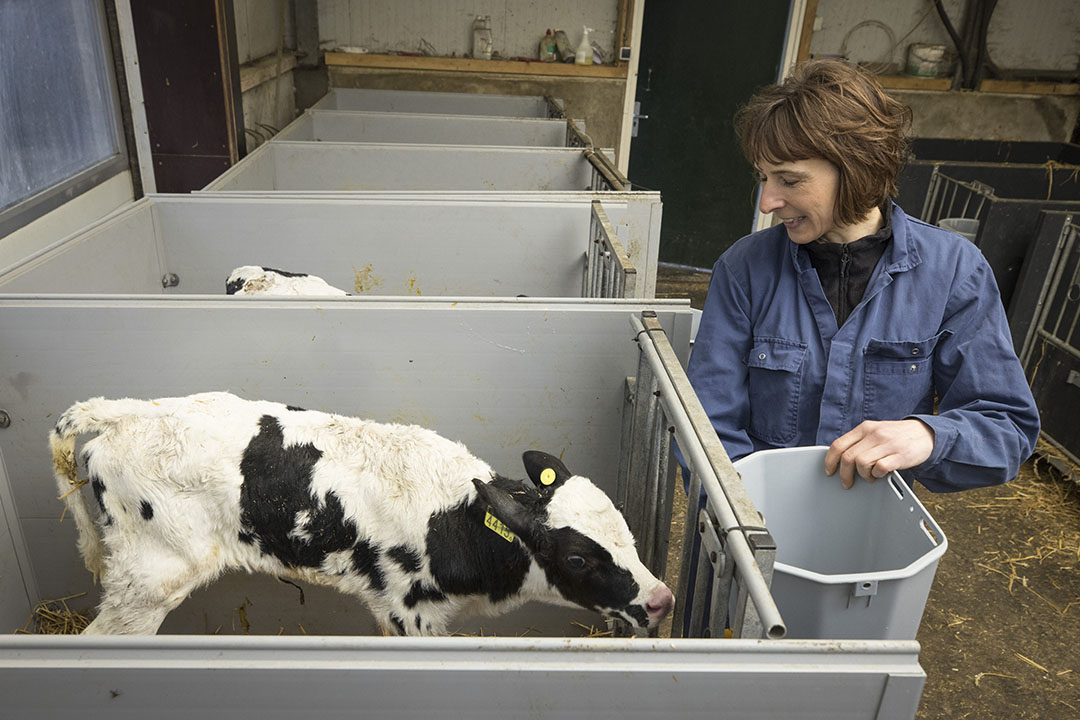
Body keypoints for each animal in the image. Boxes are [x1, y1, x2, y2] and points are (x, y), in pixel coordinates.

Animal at [54, 395, 673, 634]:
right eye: (579, 557)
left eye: (628, 533)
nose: (661, 599)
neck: (454, 522)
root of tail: (124, 413)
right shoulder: (408, 611)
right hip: (147, 582)